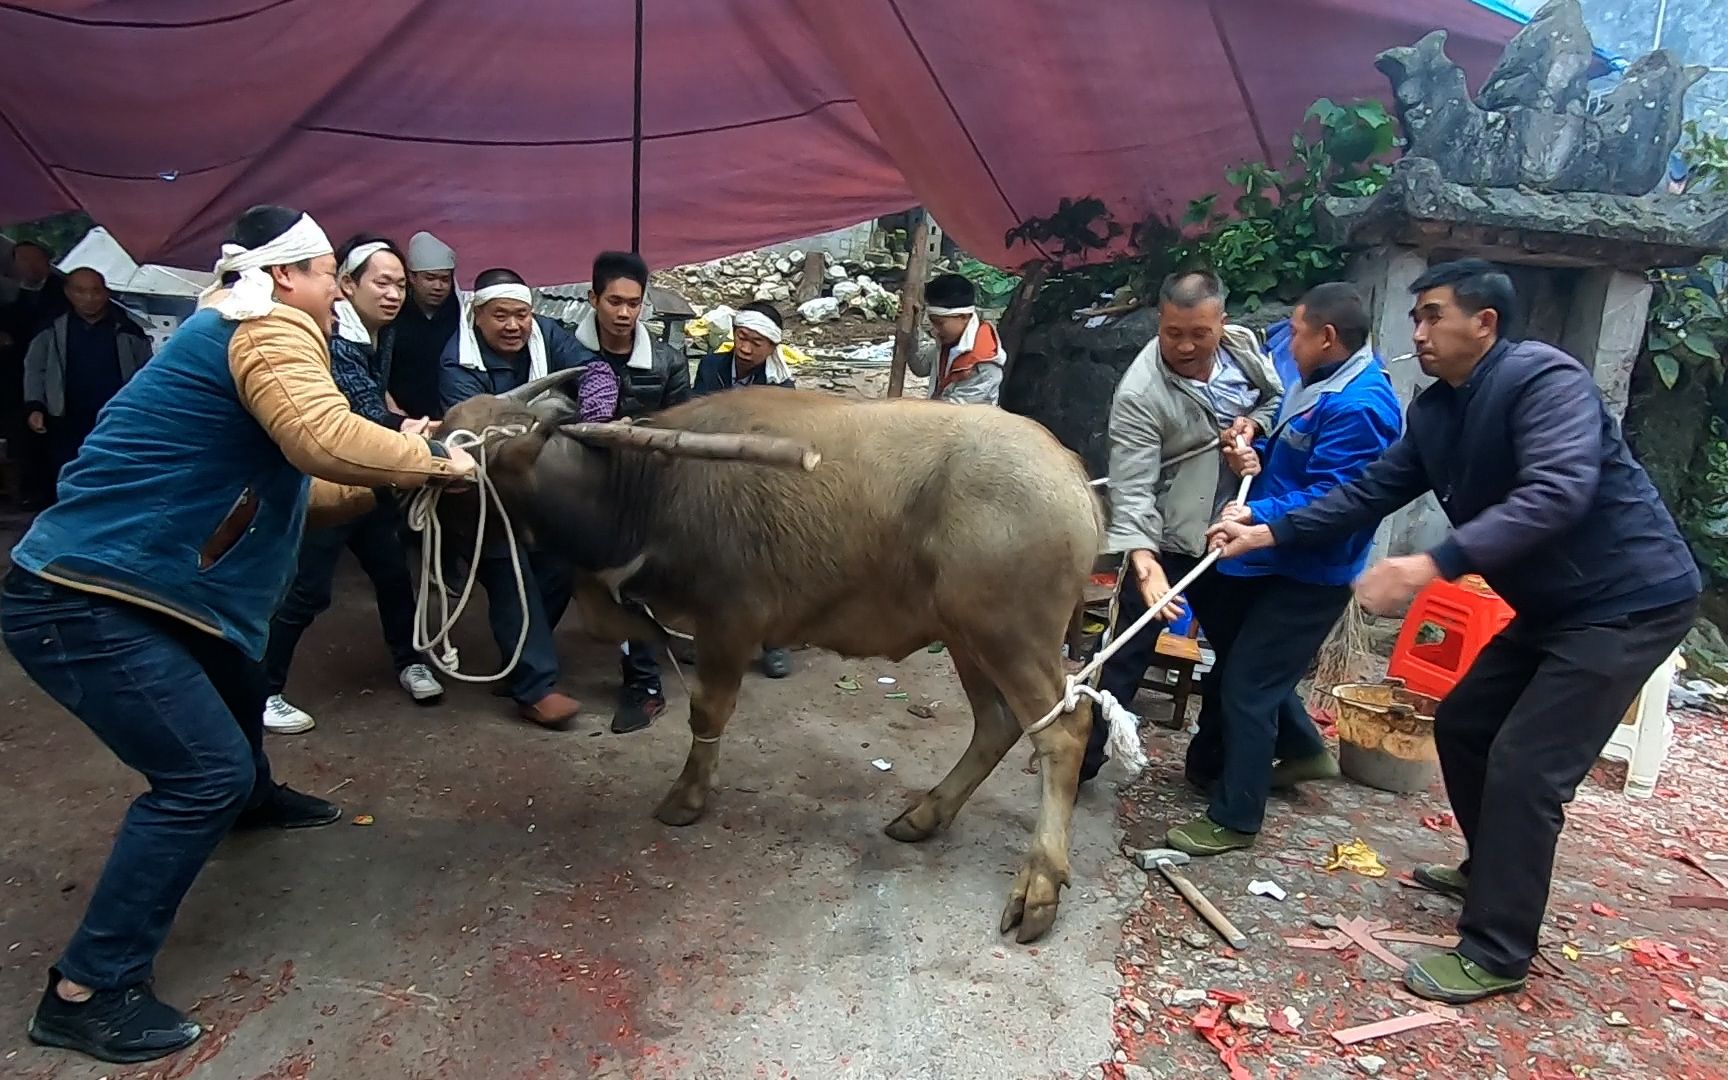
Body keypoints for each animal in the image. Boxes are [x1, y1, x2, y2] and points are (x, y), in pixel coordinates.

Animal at [438, 373, 1099, 940]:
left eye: (466, 471)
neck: (648, 485)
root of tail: (1072, 475)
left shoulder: (728, 620)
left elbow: (707, 710)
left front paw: (687, 798)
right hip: (966, 635)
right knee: (997, 723)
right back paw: (924, 817)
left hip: (1010, 635)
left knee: (1064, 730)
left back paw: (1039, 888)